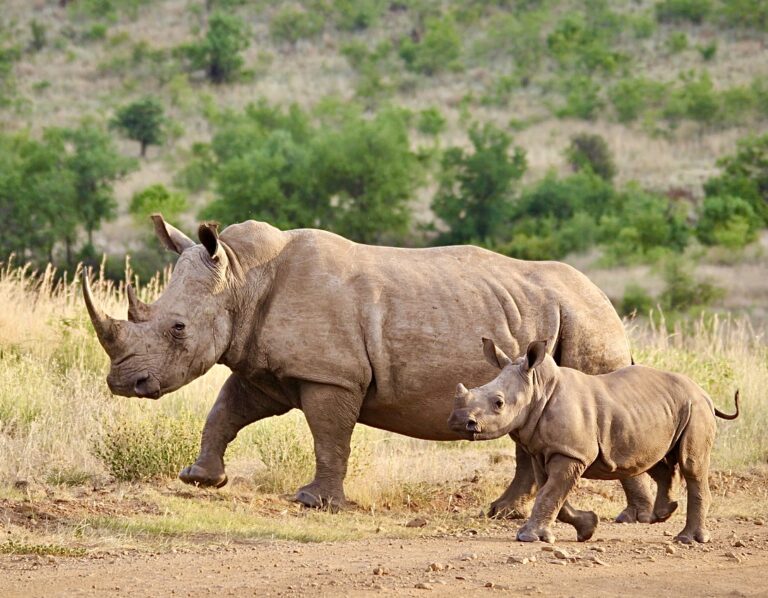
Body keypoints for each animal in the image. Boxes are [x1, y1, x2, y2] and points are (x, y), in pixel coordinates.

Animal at [83, 215, 655, 520]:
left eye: (178, 328)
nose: (124, 383)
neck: (242, 278)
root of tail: (605, 300)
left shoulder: (330, 374)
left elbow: (329, 436)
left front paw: (314, 503)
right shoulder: (264, 367)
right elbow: (225, 411)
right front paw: (201, 478)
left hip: (587, 323)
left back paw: (634, 517)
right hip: (552, 322)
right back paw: (504, 513)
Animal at [449, 338, 740, 544]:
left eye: (498, 403)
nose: (459, 421)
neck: (538, 388)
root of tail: (704, 392)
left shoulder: (571, 453)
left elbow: (550, 493)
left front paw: (528, 537)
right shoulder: (545, 451)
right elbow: (552, 493)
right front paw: (588, 527)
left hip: (696, 408)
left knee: (691, 465)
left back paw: (687, 539)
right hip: (664, 410)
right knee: (656, 460)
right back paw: (663, 514)